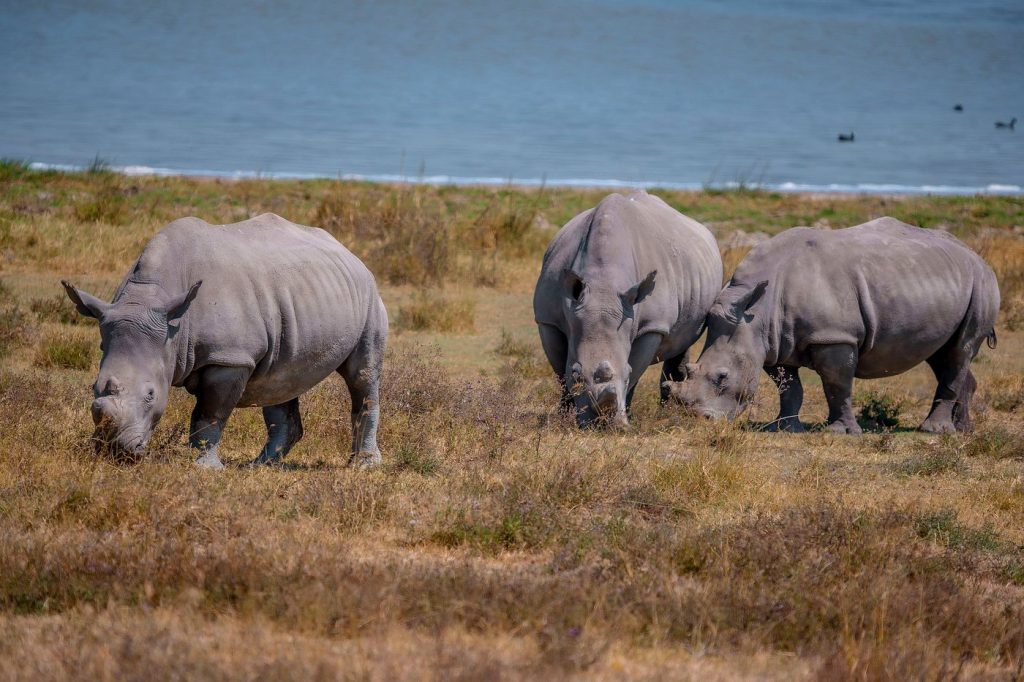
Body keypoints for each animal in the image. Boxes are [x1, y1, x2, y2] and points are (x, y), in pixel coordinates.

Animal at [62, 213, 388, 469]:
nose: (116, 452)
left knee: (362, 374)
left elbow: (210, 414)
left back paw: (363, 466)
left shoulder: (229, 357)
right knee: (280, 379)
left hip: (369, 296)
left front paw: (204, 468)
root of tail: (349, 253)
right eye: (93, 389)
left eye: (151, 395)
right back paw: (261, 465)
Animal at [533, 190, 723, 427]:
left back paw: (666, 411)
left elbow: (635, 372)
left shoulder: (652, 326)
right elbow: (560, 371)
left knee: (683, 341)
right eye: (577, 375)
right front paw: (564, 416)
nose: (602, 424)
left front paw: (626, 418)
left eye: (626, 373)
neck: (603, 284)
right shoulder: (548, 319)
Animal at [663, 217, 1000, 434]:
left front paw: (840, 432)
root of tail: (977, 256)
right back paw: (962, 430)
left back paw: (934, 431)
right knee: (944, 354)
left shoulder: (834, 337)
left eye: (722, 377)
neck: (757, 311)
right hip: (942, 284)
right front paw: (784, 428)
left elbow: (837, 384)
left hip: (982, 284)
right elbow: (789, 387)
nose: (698, 420)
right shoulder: (775, 341)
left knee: (959, 350)